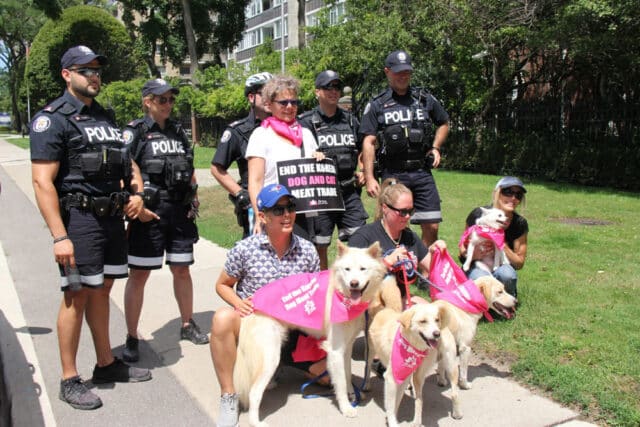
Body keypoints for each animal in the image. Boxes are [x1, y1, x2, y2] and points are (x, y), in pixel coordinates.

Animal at [232, 242, 388, 426]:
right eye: (347, 269)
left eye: (363, 269)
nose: (354, 284)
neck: (341, 295)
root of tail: (251, 303)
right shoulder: (335, 351)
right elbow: (341, 383)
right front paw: (346, 408)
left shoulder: (346, 347)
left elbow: (348, 374)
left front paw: (352, 395)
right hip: (270, 357)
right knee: (254, 392)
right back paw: (255, 421)